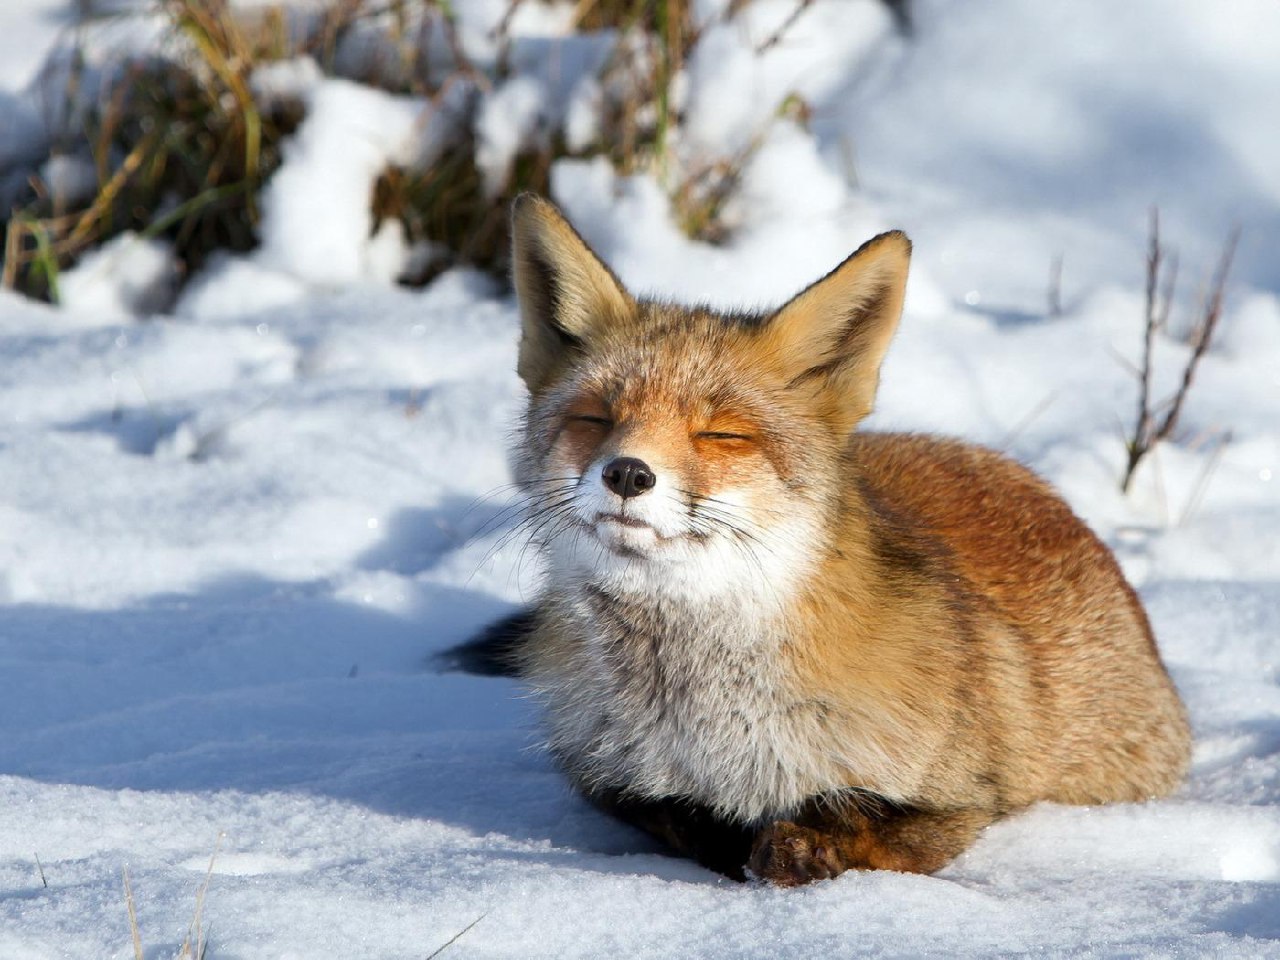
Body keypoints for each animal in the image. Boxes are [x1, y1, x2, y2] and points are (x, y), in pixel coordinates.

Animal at [496, 193, 1187, 885]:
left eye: (722, 435)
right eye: (594, 418)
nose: (627, 474)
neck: (697, 718)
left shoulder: (968, 796)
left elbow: (865, 821)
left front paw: (802, 845)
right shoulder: (605, 775)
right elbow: (682, 817)